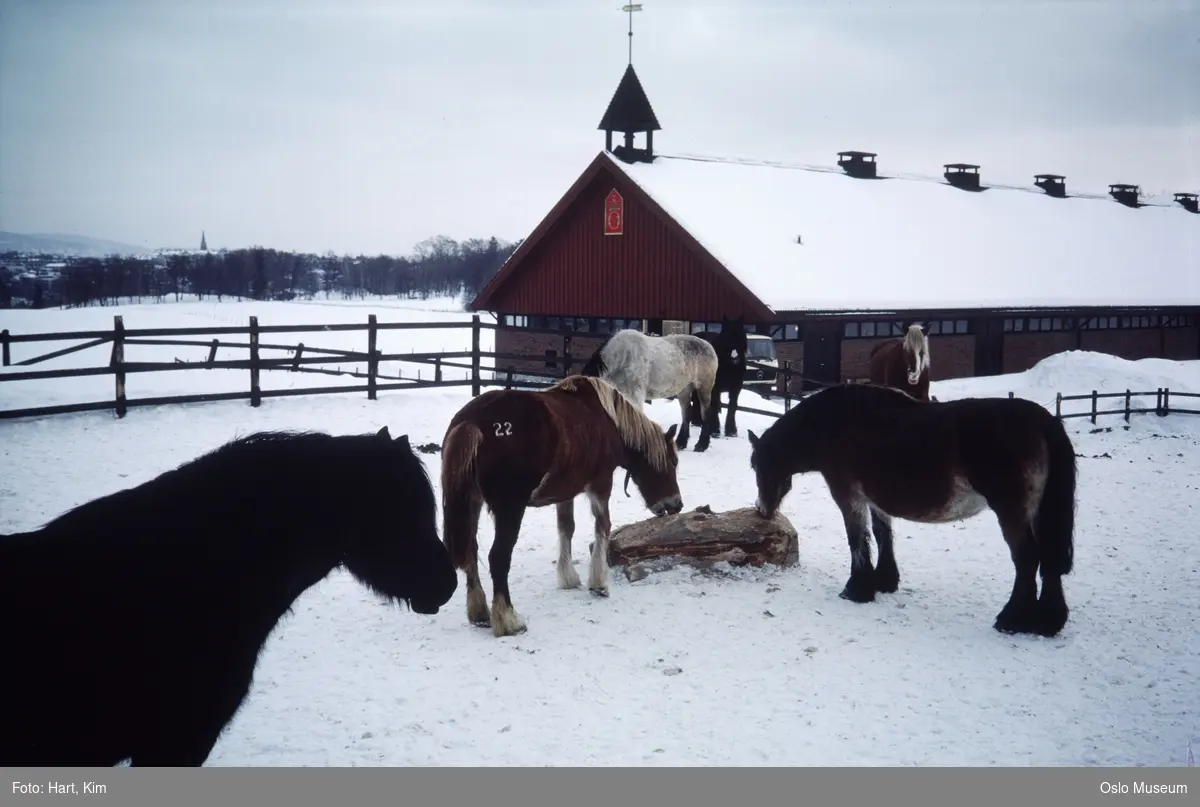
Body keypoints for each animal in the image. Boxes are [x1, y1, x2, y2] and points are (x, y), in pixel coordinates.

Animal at [441, 374, 686, 638]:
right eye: (673, 461)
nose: (676, 504)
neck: (606, 419)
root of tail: (473, 421)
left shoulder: (565, 492)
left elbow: (566, 528)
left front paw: (569, 578)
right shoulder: (600, 485)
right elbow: (603, 527)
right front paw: (599, 583)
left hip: (471, 503)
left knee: (470, 552)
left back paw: (480, 614)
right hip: (510, 508)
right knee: (498, 557)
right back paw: (508, 620)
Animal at [578, 329, 715, 453]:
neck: (621, 361)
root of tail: (708, 345)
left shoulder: (634, 394)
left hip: (704, 387)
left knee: (706, 414)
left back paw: (701, 445)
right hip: (684, 389)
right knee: (686, 413)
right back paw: (681, 443)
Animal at [748, 381, 1080, 638]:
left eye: (755, 465)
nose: (761, 509)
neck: (834, 424)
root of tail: (1044, 421)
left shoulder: (847, 495)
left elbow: (857, 539)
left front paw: (856, 589)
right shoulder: (874, 499)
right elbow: (882, 534)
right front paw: (884, 581)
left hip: (1011, 512)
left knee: (1028, 559)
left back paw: (1011, 618)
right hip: (1038, 512)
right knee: (1050, 560)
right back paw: (1048, 622)